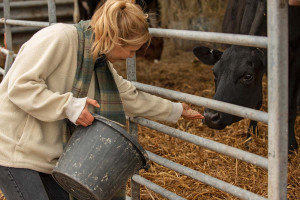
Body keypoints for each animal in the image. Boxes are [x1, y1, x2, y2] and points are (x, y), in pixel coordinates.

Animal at [193, 0, 298, 152]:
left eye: (247, 76)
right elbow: (257, 102)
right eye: (214, 72)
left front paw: (290, 144)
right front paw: (251, 138)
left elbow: (290, 105)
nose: (210, 116)